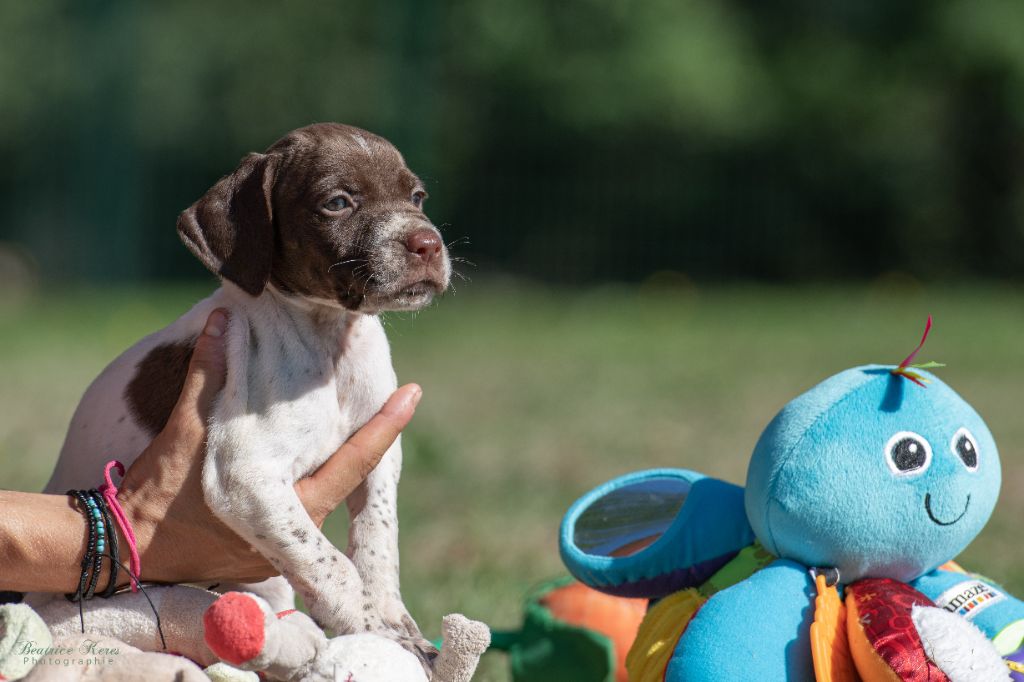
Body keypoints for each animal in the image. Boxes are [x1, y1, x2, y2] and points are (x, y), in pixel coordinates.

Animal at [44, 123, 450, 659]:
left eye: (417, 197)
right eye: (338, 202)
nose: (429, 245)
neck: (328, 339)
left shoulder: (379, 454)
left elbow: (377, 541)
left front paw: (395, 619)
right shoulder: (245, 476)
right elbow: (331, 565)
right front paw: (374, 634)